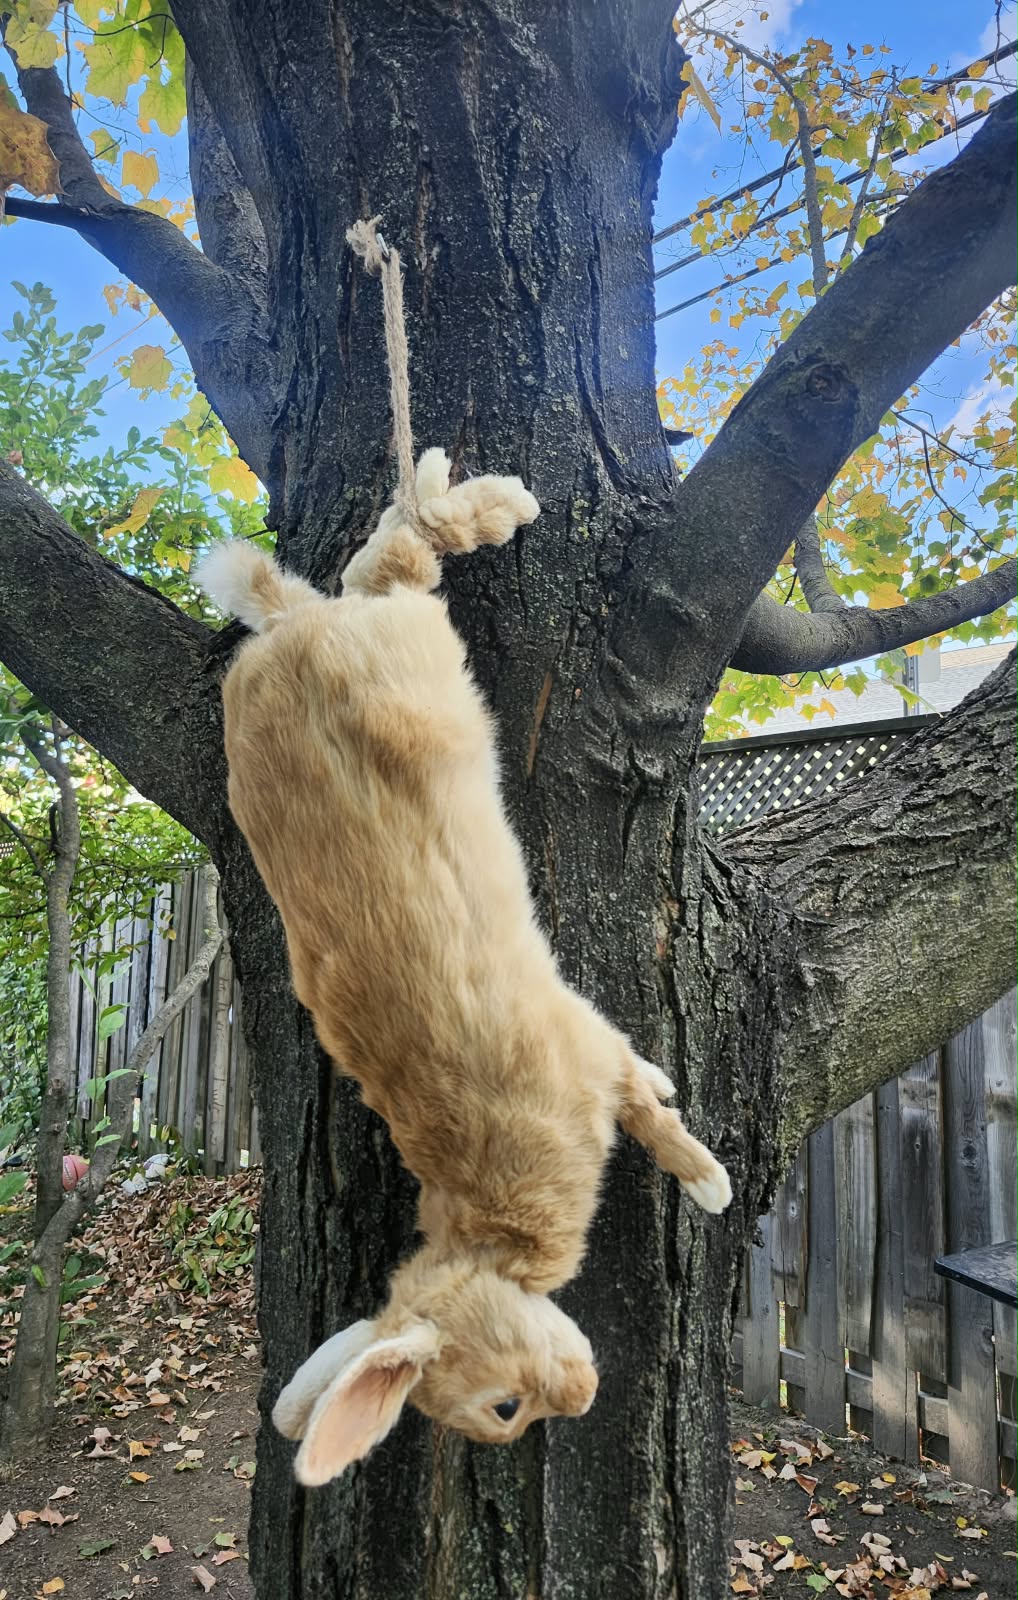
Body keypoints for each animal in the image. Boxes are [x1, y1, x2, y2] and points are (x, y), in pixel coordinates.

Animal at [198, 449, 731, 1486]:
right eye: (505, 1412)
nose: (582, 1396)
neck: (488, 1230)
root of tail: (286, 628)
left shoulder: (586, 1059)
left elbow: (652, 1116)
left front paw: (708, 1182)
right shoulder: (588, 1048)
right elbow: (643, 1086)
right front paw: (682, 1117)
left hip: (406, 630)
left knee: (411, 543)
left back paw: (492, 499)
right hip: (384, 619)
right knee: (380, 559)